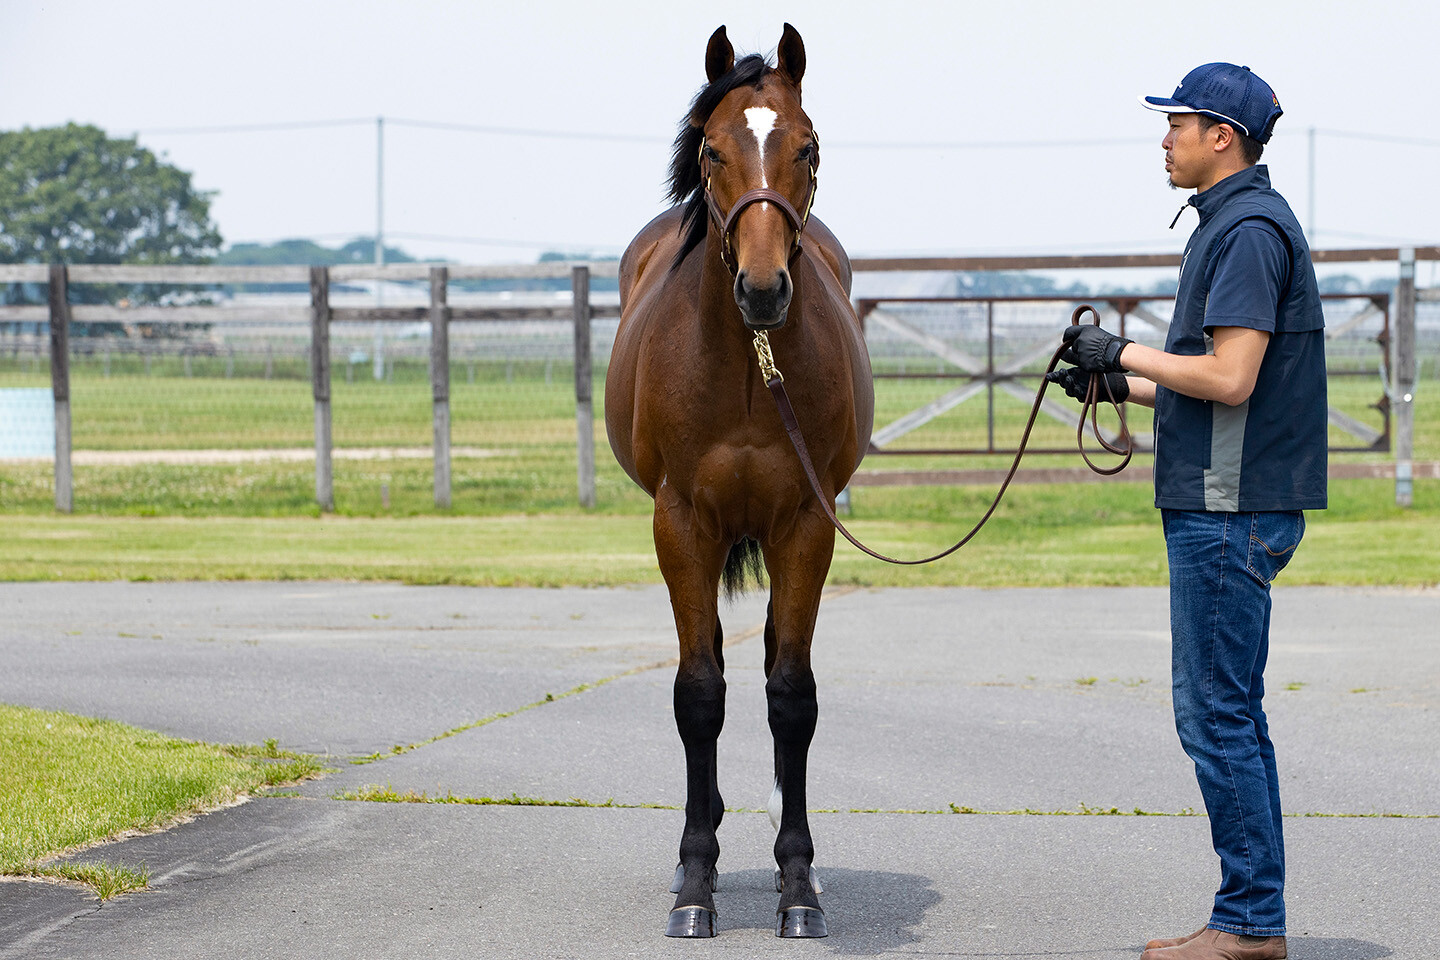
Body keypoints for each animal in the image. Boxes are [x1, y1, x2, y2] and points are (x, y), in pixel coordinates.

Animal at [601, 24, 869, 944]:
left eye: (808, 145)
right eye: (712, 150)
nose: (761, 289)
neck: (751, 376)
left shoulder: (806, 525)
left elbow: (791, 694)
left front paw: (798, 885)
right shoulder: (682, 523)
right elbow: (698, 694)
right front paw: (694, 882)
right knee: (713, 661)